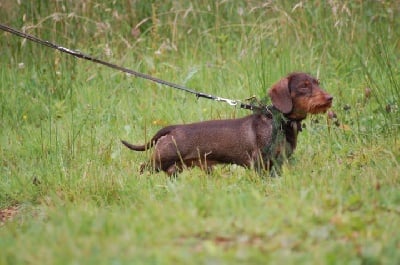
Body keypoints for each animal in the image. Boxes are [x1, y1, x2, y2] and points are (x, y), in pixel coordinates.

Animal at [121, 72, 332, 175]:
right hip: (159, 161)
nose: (330, 98)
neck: (278, 121)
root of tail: (174, 128)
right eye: (304, 86)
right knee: (142, 168)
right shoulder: (260, 161)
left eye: (317, 82)